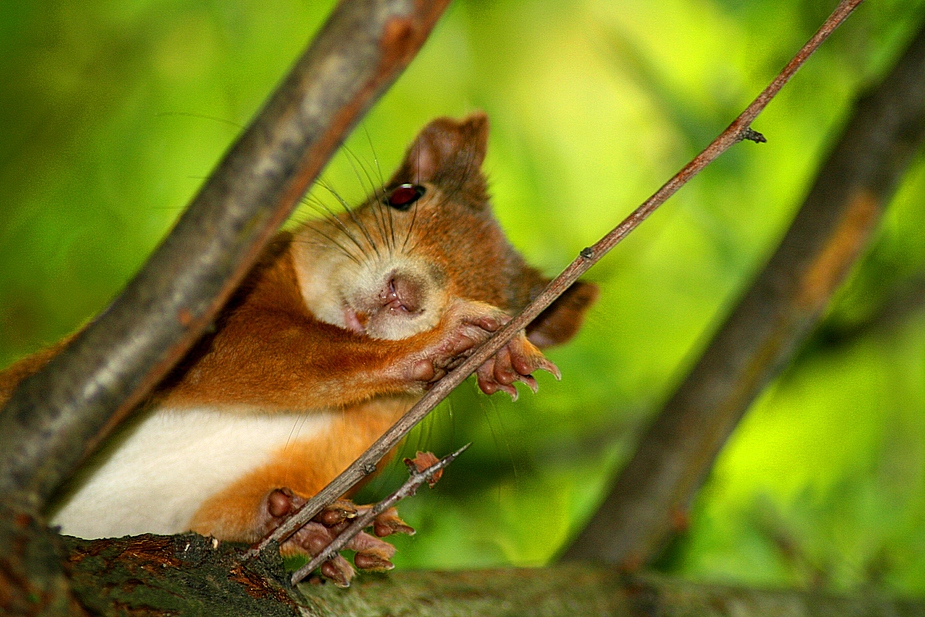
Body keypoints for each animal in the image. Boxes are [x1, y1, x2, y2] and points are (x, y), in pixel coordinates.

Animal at [0, 114, 596, 584]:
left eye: (517, 307)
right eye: (404, 194)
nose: (404, 294)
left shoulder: (347, 445)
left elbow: (213, 525)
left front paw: (309, 525)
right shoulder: (239, 292)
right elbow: (248, 348)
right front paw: (446, 340)